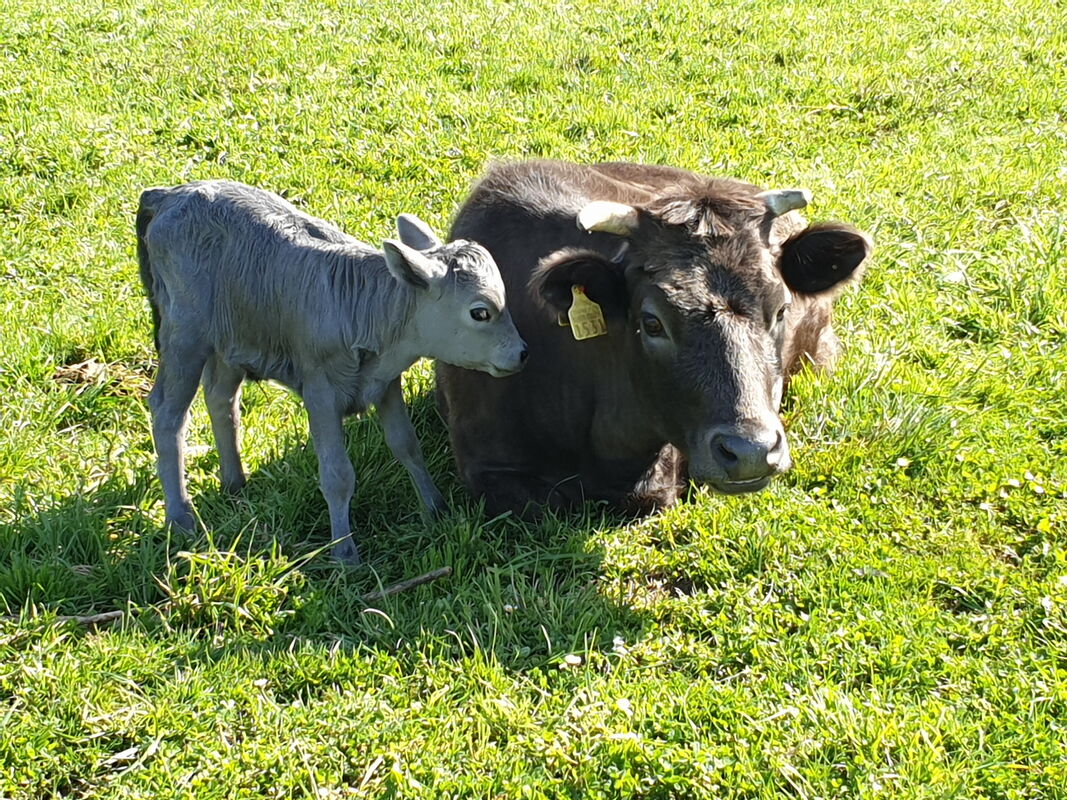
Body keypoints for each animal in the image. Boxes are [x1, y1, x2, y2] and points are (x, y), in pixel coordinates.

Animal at [137, 180, 527, 563]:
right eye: (480, 312)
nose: (522, 353)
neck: (364, 307)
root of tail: (171, 194)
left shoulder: (385, 383)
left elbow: (406, 445)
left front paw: (436, 507)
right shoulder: (320, 393)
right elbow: (337, 473)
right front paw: (344, 550)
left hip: (230, 340)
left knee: (221, 399)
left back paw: (235, 482)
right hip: (185, 336)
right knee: (168, 413)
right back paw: (180, 516)